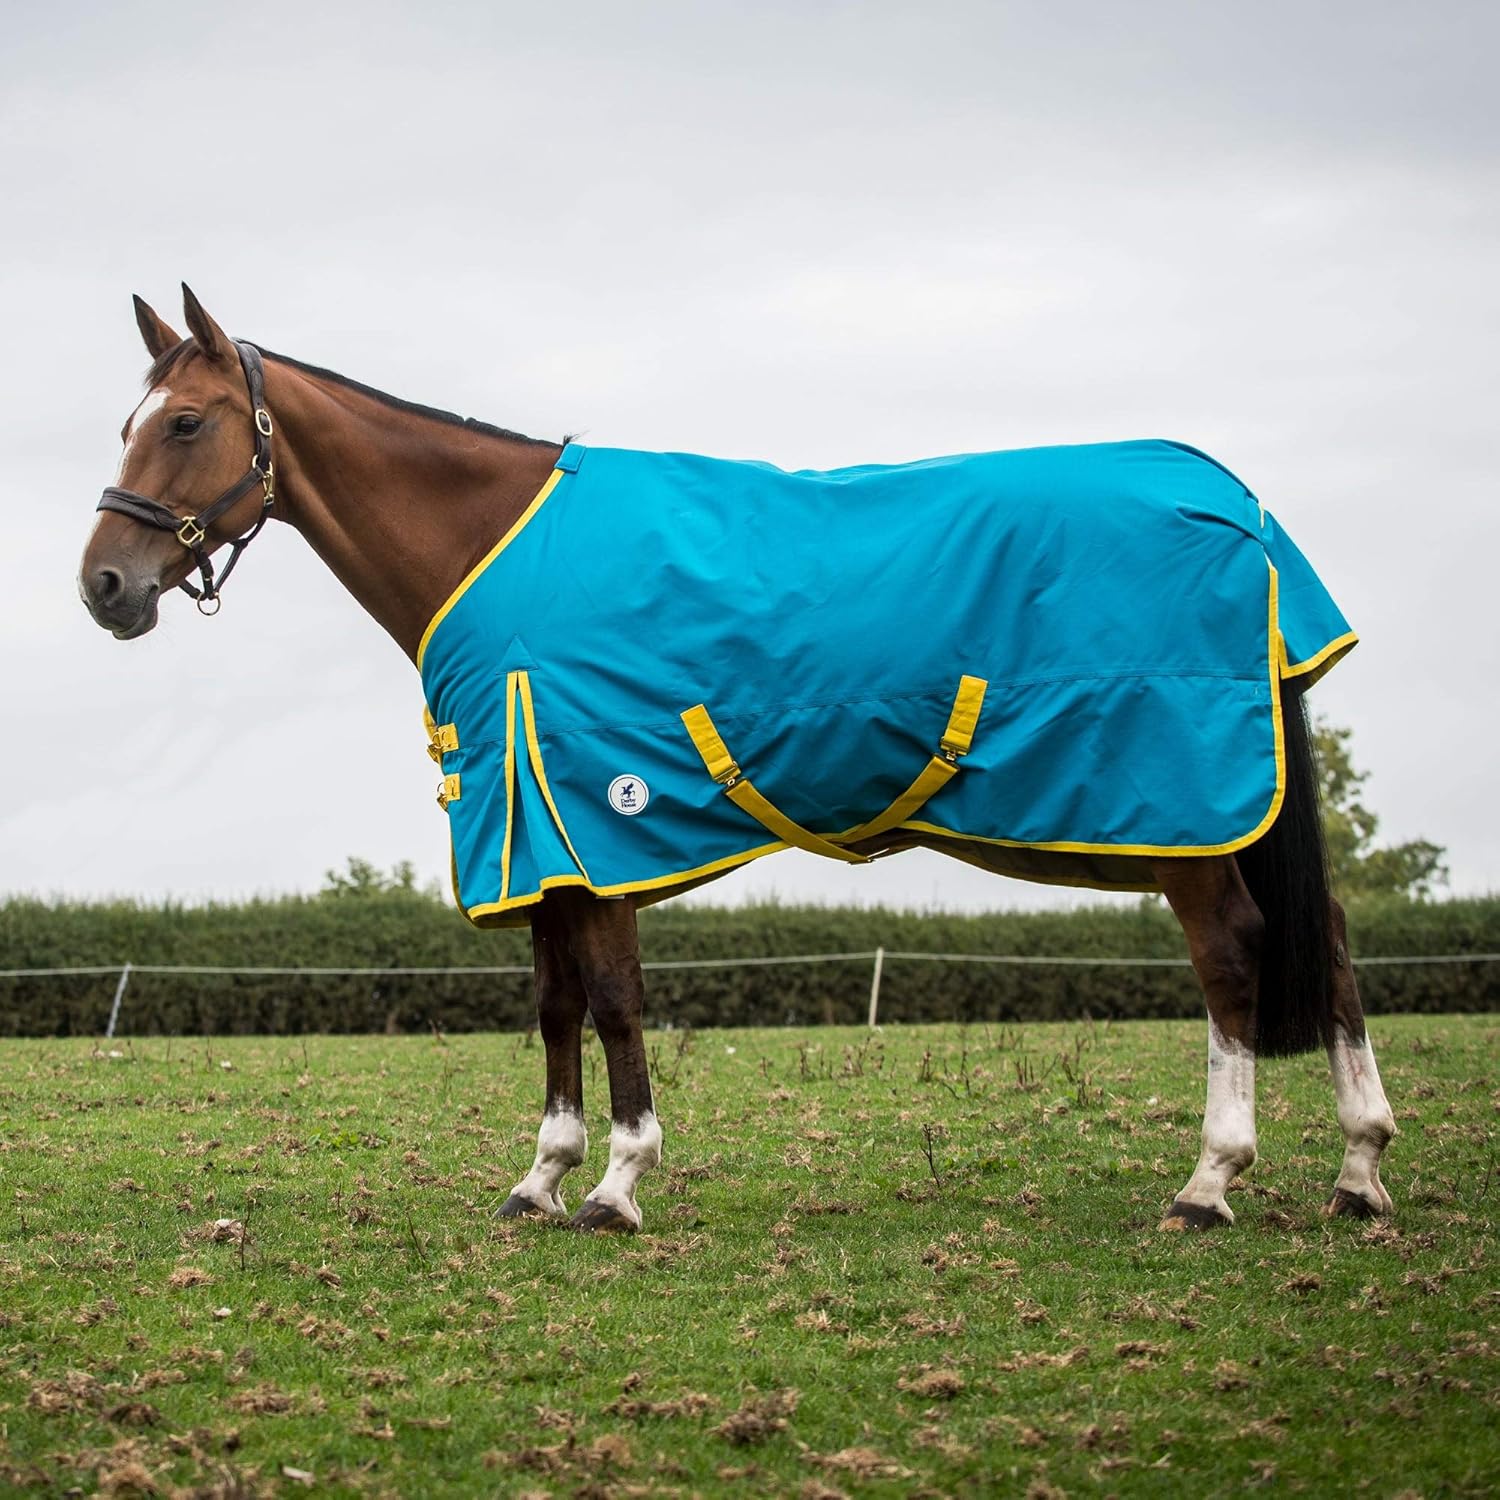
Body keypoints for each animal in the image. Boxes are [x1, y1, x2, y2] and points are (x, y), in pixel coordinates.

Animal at [77, 286, 1396, 1234]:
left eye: (185, 422)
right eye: (129, 424)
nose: (103, 587)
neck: (492, 546)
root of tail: (1236, 508)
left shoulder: (588, 813)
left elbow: (612, 999)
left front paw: (617, 1188)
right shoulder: (535, 833)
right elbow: (555, 1002)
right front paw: (541, 1179)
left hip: (1181, 804)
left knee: (1234, 955)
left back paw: (1210, 1183)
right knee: (1328, 940)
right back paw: (1360, 1174)